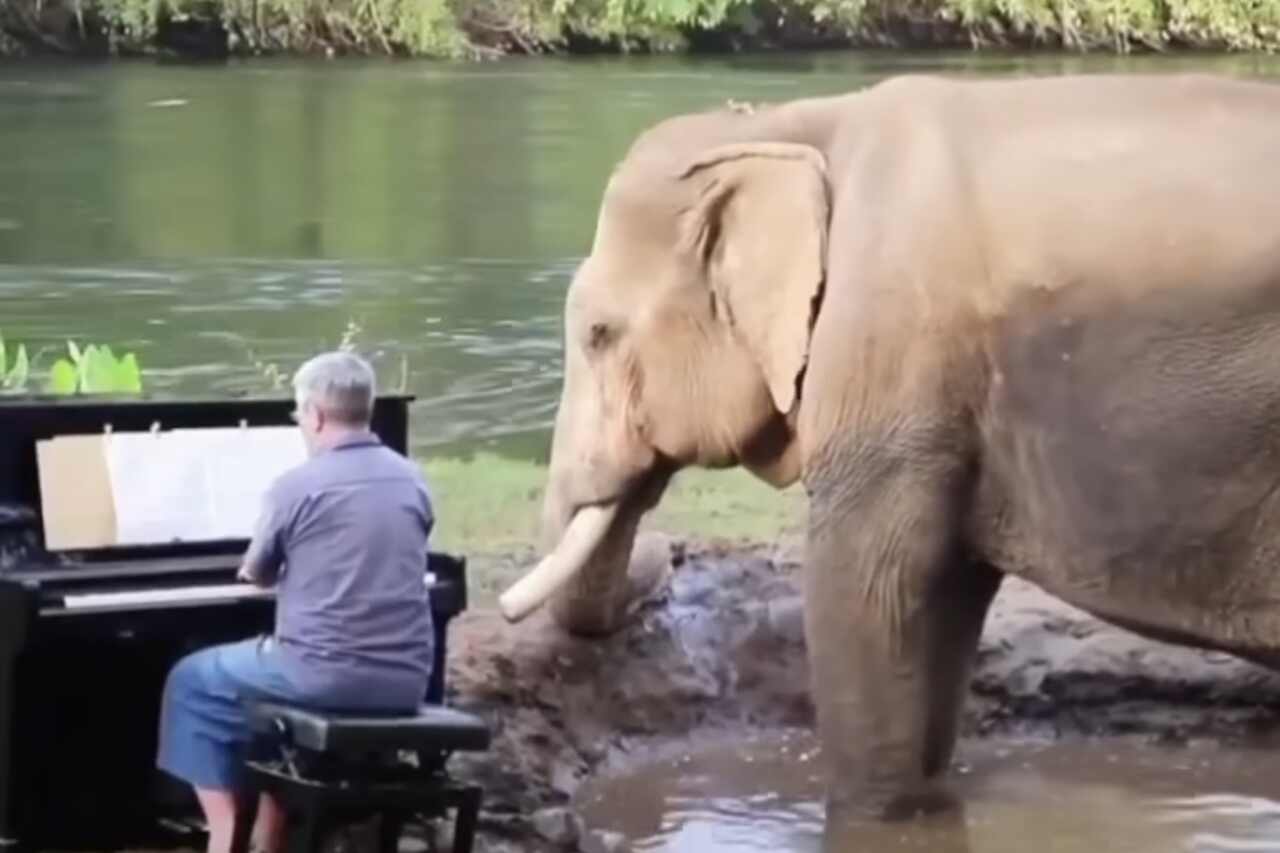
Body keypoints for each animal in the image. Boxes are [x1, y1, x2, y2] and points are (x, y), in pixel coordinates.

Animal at [499, 74, 1280, 824]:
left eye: (598, 334)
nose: (670, 554)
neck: (787, 124)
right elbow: (945, 597)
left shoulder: (891, 359)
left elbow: (870, 589)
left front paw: (882, 812)